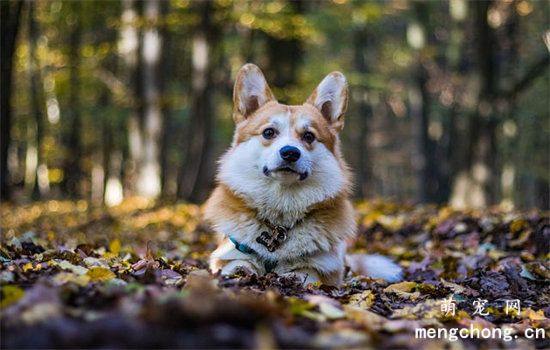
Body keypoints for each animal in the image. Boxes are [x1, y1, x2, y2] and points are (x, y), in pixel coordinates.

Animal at [205, 64, 404, 286]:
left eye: (308, 136)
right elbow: (235, 265)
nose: (290, 153)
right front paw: (242, 272)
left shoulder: (327, 268)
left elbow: (306, 274)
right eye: (268, 132)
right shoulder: (227, 253)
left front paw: (291, 277)